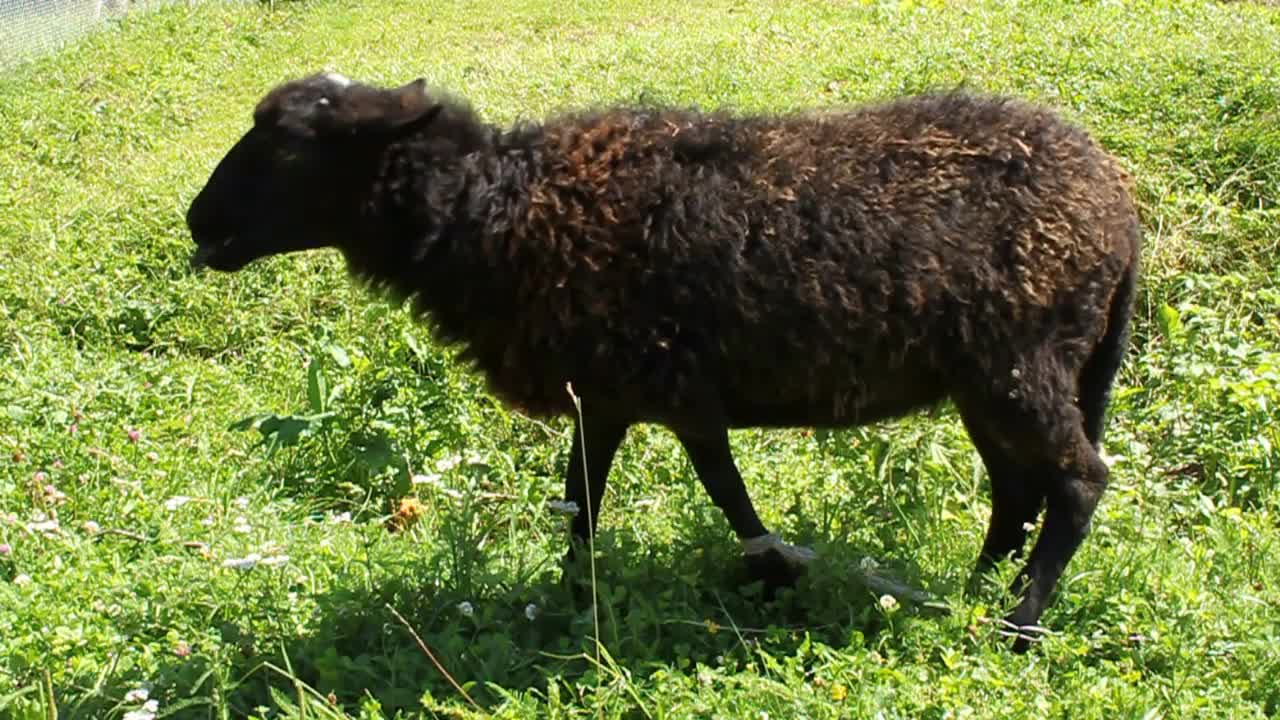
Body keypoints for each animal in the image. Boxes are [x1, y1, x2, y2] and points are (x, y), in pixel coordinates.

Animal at [186, 71, 1141, 645]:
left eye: (286, 143)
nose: (199, 222)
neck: (497, 215)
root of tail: (1119, 207)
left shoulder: (660, 386)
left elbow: (712, 489)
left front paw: (766, 574)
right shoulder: (615, 394)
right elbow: (594, 501)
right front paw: (579, 605)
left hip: (1023, 359)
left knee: (1076, 481)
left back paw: (1017, 622)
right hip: (990, 373)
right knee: (1016, 488)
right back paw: (969, 593)